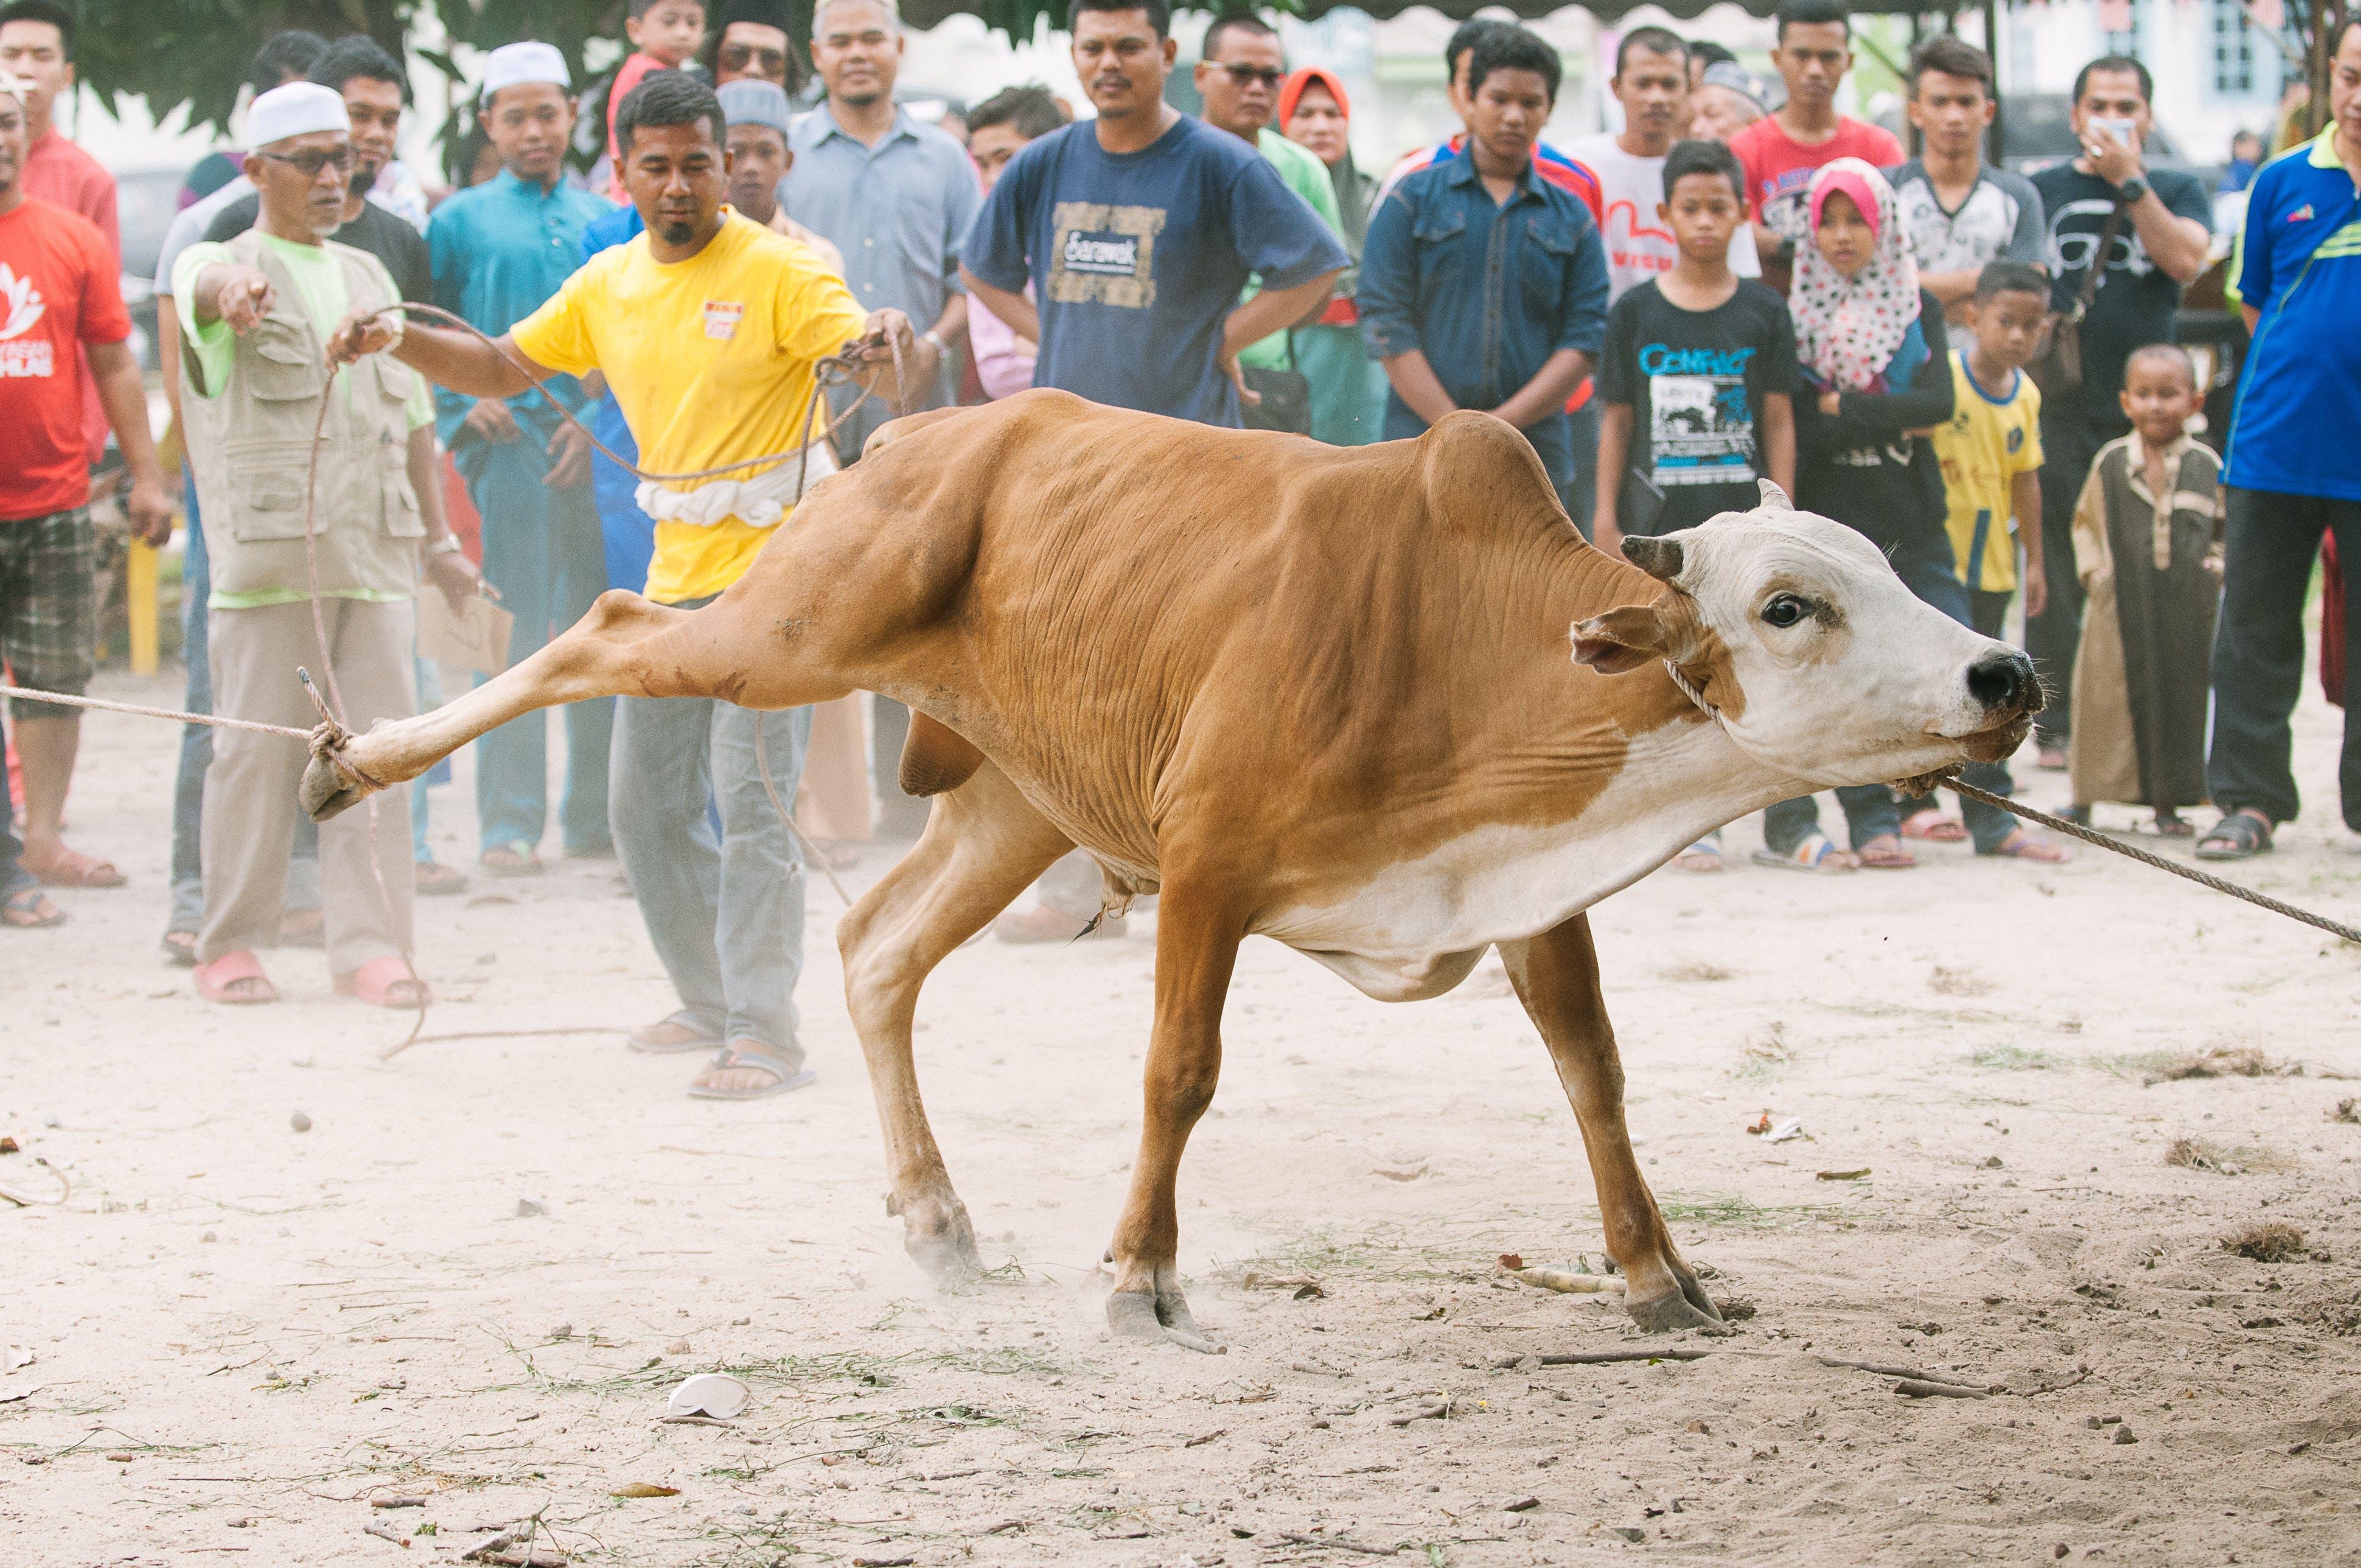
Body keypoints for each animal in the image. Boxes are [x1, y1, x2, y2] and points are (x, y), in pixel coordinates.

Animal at [299, 392, 2030, 1350]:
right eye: (1791, 606)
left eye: (1879, 568)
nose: (2002, 673)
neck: (1469, 638)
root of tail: (923, 426)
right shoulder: (1204, 870)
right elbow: (1178, 1075)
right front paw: (1139, 1281)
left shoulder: (1523, 886)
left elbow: (1590, 1072)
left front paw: (1656, 1275)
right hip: (788, 631)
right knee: (603, 626)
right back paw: (357, 758)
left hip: (1015, 805)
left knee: (873, 950)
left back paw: (936, 1222)